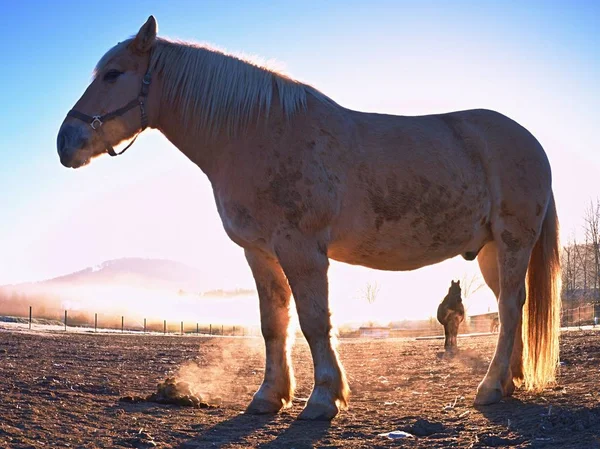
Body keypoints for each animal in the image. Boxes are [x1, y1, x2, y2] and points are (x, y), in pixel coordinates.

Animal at [58, 15, 560, 418]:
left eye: (113, 74)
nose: (66, 142)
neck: (257, 132)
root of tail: (531, 143)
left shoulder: (302, 249)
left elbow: (315, 321)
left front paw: (323, 399)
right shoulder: (259, 252)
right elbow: (273, 324)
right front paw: (269, 396)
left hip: (513, 241)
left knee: (510, 308)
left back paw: (490, 388)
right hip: (490, 251)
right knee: (511, 307)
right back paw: (508, 382)